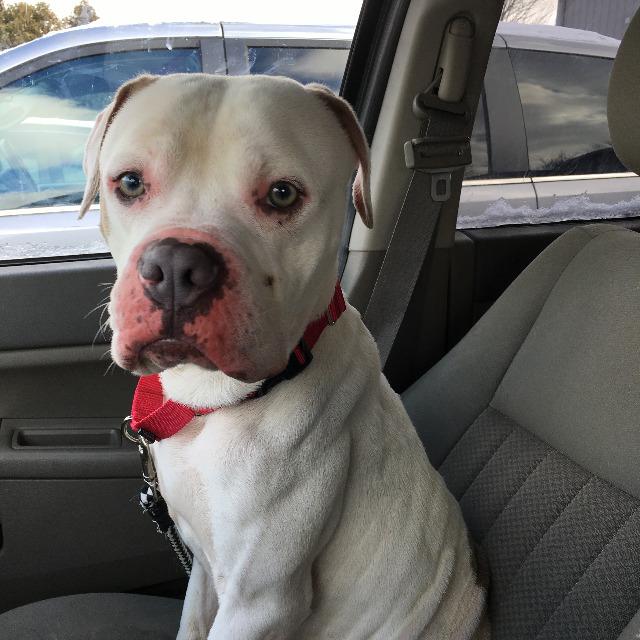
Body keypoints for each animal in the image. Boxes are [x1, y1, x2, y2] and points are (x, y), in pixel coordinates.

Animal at [80, 73, 487, 639]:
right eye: (131, 183)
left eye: (282, 193)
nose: (177, 265)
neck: (213, 403)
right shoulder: (205, 572)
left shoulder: (261, 601)